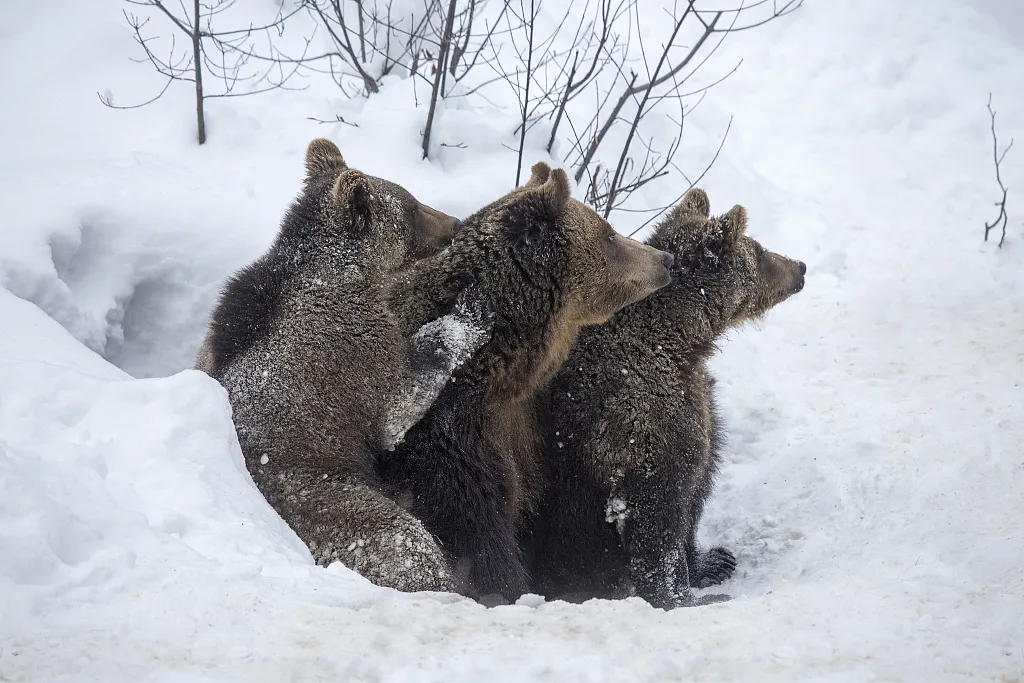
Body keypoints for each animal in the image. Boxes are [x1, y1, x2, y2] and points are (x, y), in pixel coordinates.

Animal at [198, 137, 491, 593]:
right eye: (411, 206)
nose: (455, 223)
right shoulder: (351, 352)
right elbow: (398, 405)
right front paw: (469, 310)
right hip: (323, 498)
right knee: (402, 540)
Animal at [376, 162, 671, 602]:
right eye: (610, 234)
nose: (665, 258)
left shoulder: (534, 426)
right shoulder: (450, 434)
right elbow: (474, 525)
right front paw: (507, 585)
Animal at [528, 187, 806, 610]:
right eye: (758, 250)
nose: (800, 267)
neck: (679, 344)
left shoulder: (698, 403)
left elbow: (699, 485)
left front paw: (712, 561)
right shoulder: (639, 422)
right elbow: (658, 516)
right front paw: (683, 596)